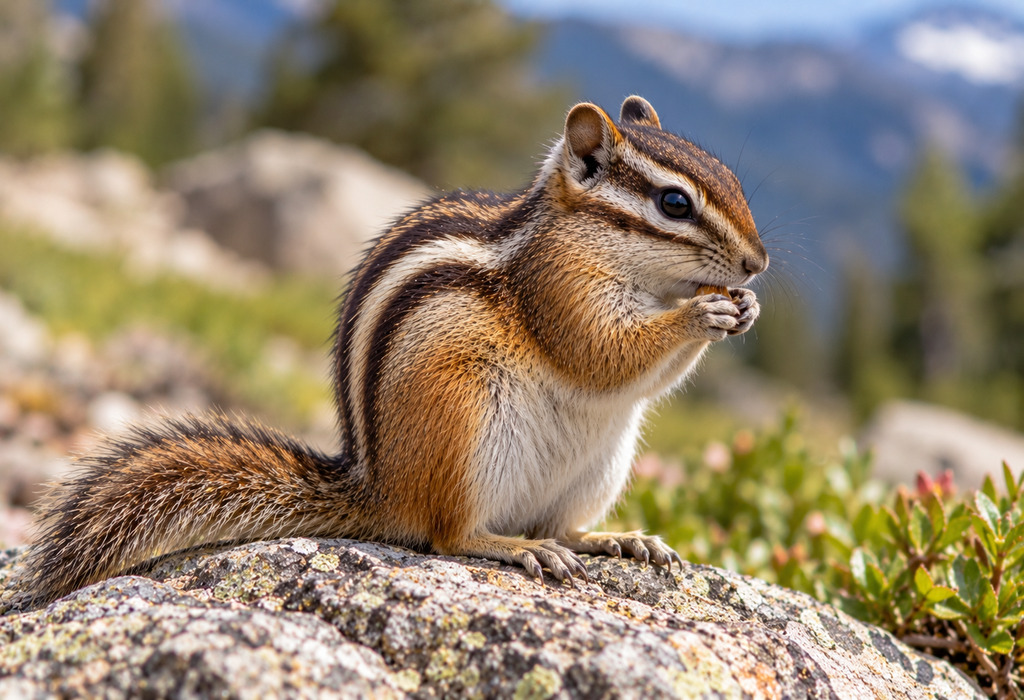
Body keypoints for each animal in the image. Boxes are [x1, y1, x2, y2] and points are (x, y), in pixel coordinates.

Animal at [19, 96, 767, 604]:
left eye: (734, 181)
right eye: (674, 203)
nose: (757, 265)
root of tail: (379, 492)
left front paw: (744, 308)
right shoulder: (559, 291)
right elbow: (603, 353)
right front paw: (700, 311)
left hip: (602, 465)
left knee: (561, 524)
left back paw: (615, 538)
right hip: (466, 427)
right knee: (447, 534)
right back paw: (515, 547)